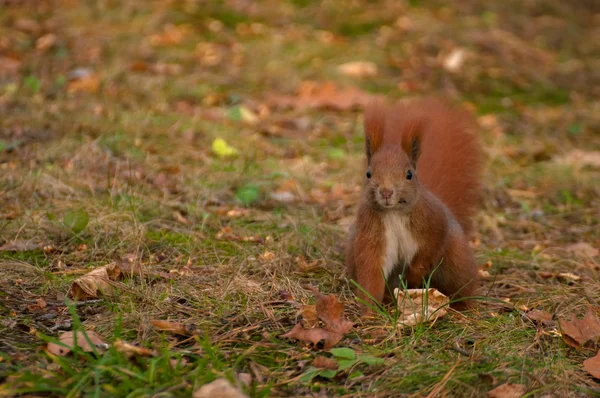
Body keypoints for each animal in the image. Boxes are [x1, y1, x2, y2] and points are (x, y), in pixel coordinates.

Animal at [346, 96, 482, 310]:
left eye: (409, 174)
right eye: (368, 173)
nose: (386, 192)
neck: (394, 212)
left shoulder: (434, 223)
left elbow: (428, 251)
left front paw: (413, 277)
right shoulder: (370, 235)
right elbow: (371, 271)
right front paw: (370, 309)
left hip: (456, 261)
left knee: (461, 286)